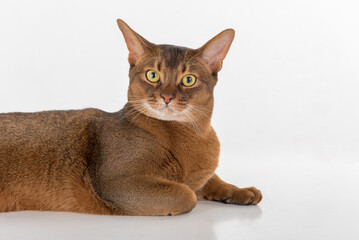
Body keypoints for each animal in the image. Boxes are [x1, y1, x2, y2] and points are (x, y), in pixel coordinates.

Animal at [0, 19, 262, 216]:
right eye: (152, 75)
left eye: (189, 80)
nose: (167, 96)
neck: (196, 134)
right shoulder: (115, 181)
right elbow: (186, 192)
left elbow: (211, 179)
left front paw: (240, 190)